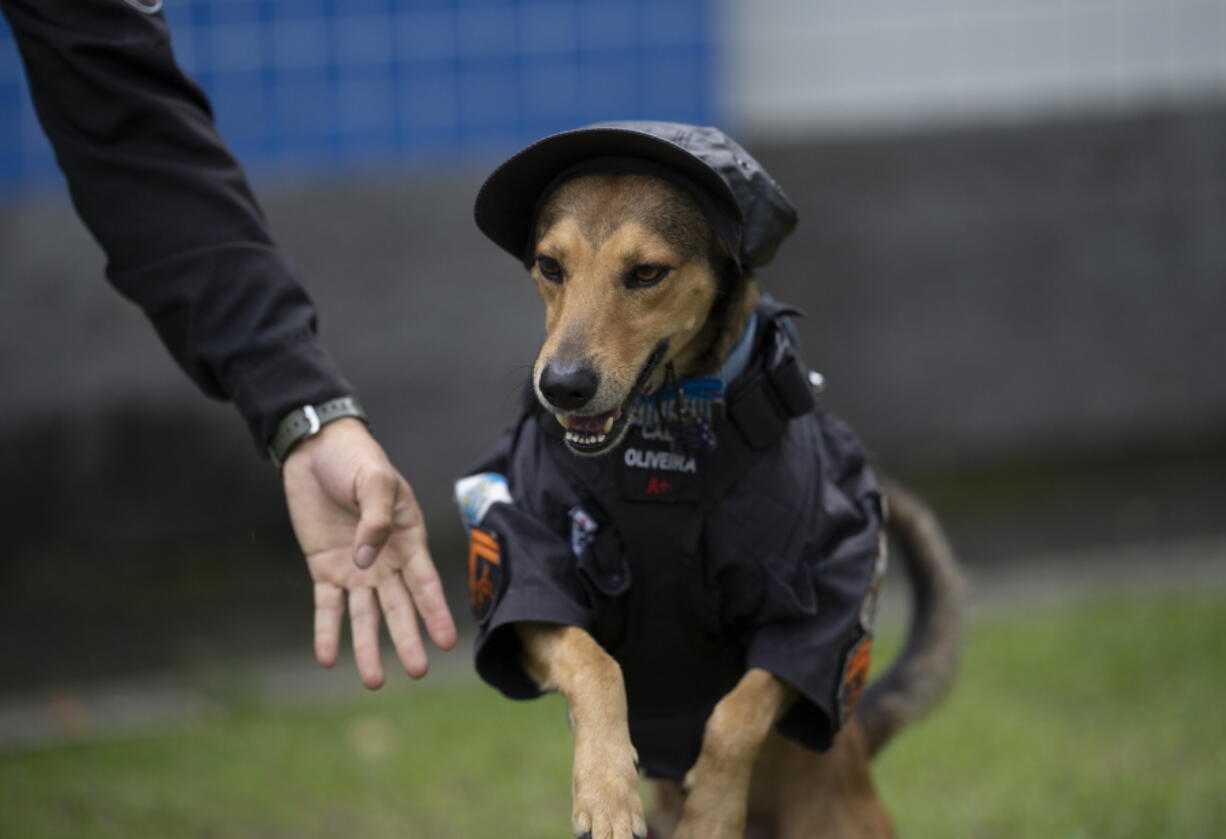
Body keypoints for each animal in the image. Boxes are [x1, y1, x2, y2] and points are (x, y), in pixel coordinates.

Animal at [456, 122, 961, 839]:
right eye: (551, 267)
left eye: (646, 273)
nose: (561, 386)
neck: (666, 445)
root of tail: (858, 741)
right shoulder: (526, 576)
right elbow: (596, 662)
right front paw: (606, 789)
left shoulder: (816, 615)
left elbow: (737, 713)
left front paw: (713, 814)